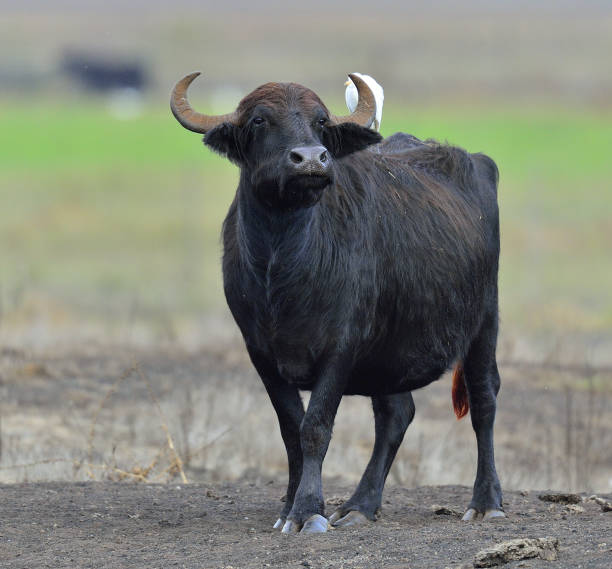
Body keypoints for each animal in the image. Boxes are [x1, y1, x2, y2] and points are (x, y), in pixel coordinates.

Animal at [171, 72, 502, 532]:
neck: (283, 268)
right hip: (392, 351)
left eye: (321, 121)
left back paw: (486, 501)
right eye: (259, 120)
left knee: (484, 400)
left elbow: (316, 427)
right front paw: (288, 508)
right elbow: (291, 429)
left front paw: (308, 511)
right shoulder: (260, 353)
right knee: (396, 414)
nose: (311, 159)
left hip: (485, 319)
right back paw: (362, 504)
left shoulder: (341, 346)